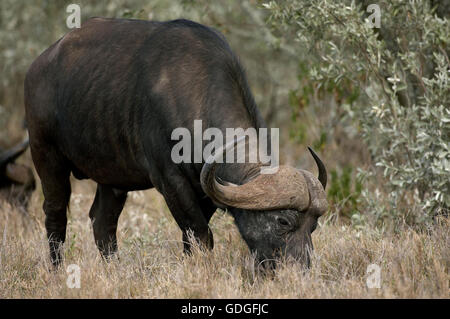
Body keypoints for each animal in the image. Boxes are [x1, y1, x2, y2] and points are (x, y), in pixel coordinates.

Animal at [25, 17, 326, 268]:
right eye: (283, 220)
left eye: (313, 226)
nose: (299, 269)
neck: (193, 96)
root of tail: (38, 66)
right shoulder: (170, 181)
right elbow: (201, 236)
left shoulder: (205, 189)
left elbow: (191, 238)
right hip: (46, 155)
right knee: (55, 214)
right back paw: (57, 269)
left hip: (112, 177)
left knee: (103, 223)